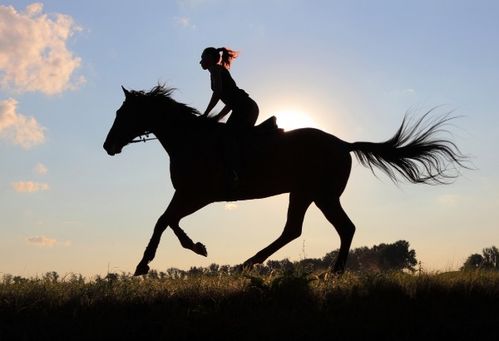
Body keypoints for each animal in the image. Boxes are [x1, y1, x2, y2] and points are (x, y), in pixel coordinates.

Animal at [102, 83, 468, 274]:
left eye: (122, 113)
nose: (108, 146)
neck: (190, 139)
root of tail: (344, 144)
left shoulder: (201, 194)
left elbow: (165, 221)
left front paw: (148, 263)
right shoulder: (188, 193)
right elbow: (167, 220)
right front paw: (186, 249)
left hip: (319, 193)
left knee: (336, 228)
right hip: (308, 193)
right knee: (301, 229)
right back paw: (255, 264)